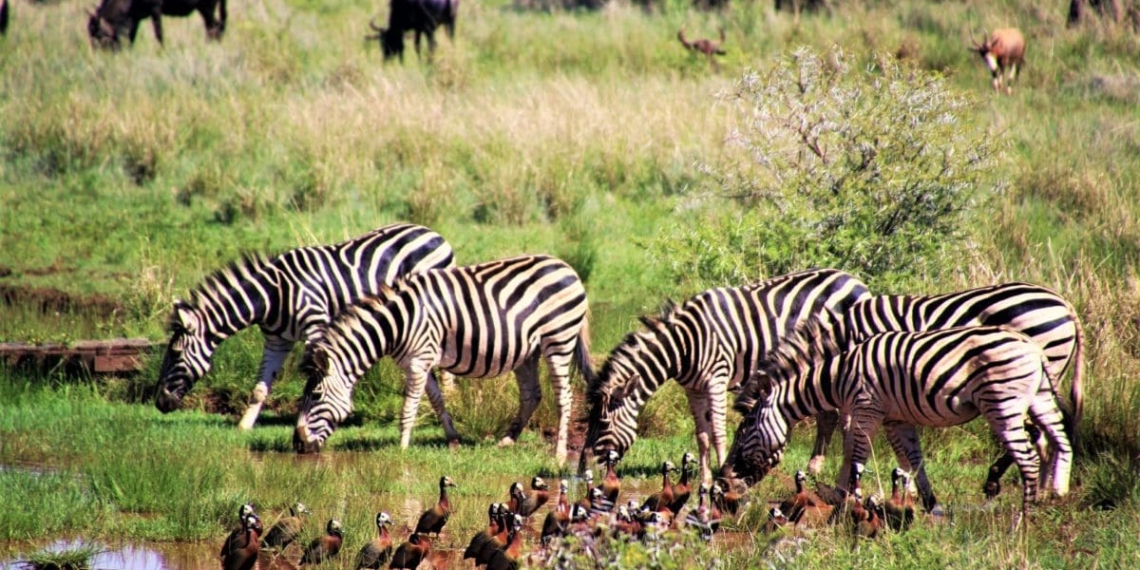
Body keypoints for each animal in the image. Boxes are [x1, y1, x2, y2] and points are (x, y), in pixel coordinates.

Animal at [155, 223, 455, 430]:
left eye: (176, 354)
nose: (159, 403)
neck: (272, 296)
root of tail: (432, 232)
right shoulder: (276, 340)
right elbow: (260, 388)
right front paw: (243, 426)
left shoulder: (316, 327)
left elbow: (317, 375)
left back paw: (453, 397)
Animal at [293, 254, 595, 467]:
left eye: (316, 395)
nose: (298, 445)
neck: (398, 323)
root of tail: (567, 267)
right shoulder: (420, 361)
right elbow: (437, 400)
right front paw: (453, 440)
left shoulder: (418, 362)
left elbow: (409, 407)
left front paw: (401, 448)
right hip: (528, 352)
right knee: (532, 395)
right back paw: (508, 440)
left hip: (559, 339)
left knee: (564, 396)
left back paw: (559, 454)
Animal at [583, 268, 871, 483]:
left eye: (604, 425)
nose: (584, 473)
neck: (685, 344)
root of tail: (855, 280)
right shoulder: (693, 388)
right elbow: (702, 435)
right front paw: (705, 478)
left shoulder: (717, 379)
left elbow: (718, 432)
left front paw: (721, 472)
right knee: (828, 417)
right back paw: (814, 469)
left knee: (847, 420)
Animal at [733, 281, 1084, 497]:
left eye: (746, 429)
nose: (731, 480)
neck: (845, 339)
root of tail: (1065, 304)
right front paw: (908, 486)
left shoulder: (874, 385)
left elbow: (854, 439)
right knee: (1044, 431)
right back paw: (1043, 486)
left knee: (1036, 432)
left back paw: (1005, 481)